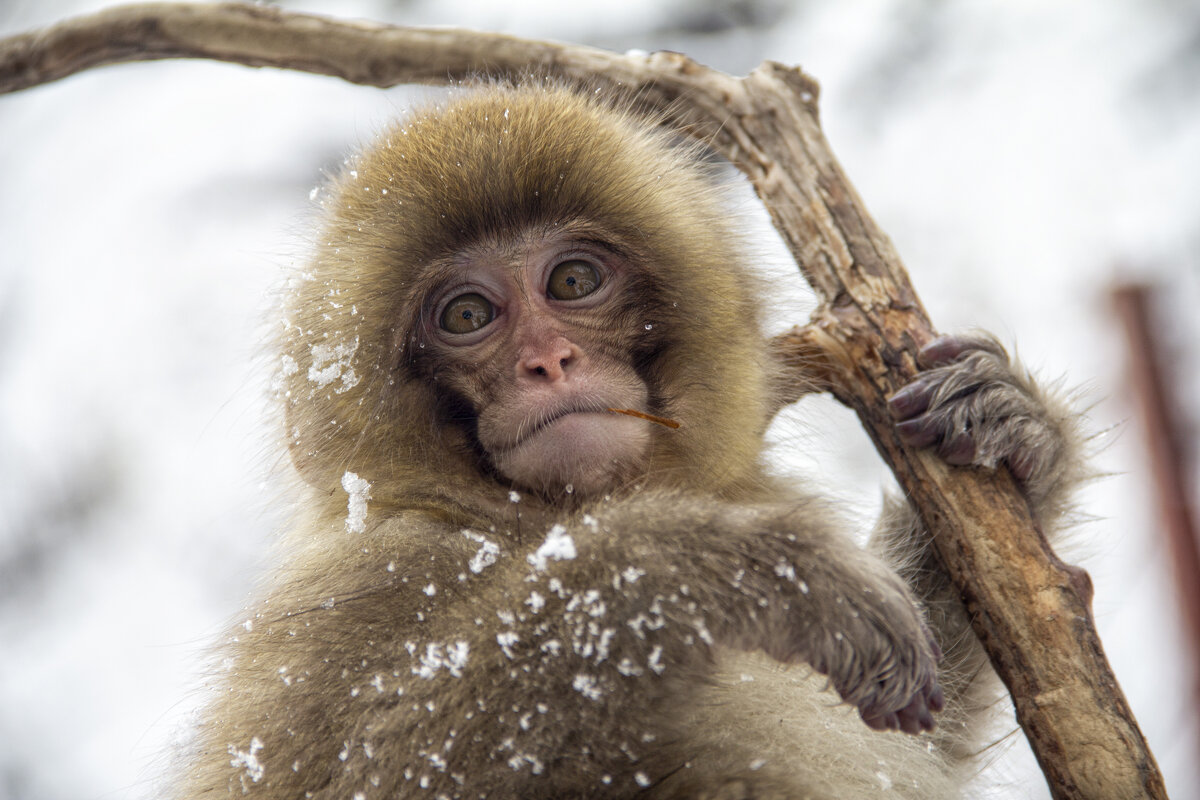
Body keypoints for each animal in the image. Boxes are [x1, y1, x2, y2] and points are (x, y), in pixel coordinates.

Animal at [174, 84, 1084, 796]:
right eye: (466, 315)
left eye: (574, 280)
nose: (548, 362)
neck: (522, 518)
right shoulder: (358, 581)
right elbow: (366, 772)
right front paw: (739, 571)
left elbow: (921, 731)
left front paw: (1011, 423)